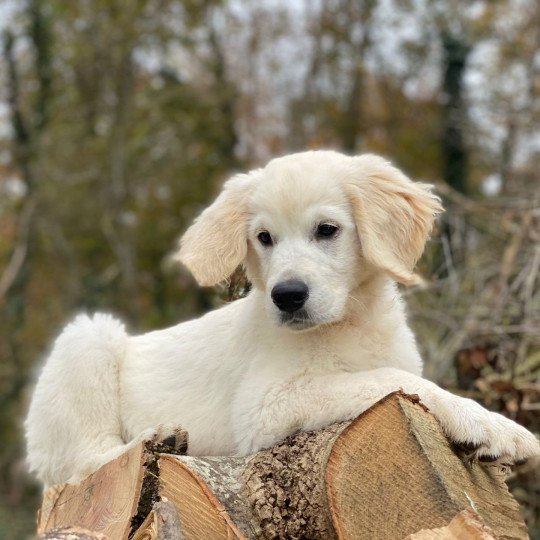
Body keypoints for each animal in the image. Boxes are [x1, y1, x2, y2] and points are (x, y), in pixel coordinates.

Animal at [26, 150, 540, 488]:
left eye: (327, 230)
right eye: (264, 238)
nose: (287, 296)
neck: (348, 323)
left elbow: (400, 376)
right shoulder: (266, 404)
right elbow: (394, 381)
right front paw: (494, 427)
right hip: (88, 340)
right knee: (83, 462)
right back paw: (158, 438)